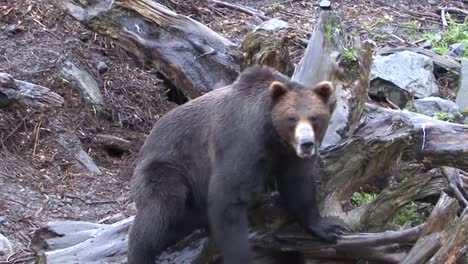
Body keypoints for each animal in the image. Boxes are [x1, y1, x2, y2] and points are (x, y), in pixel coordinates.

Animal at [128, 65, 348, 264]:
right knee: (160, 209)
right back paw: (141, 253)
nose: (306, 144)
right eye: (291, 118)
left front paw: (330, 227)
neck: (273, 135)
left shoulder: (287, 154)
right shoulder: (241, 140)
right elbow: (227, 197)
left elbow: (298, 184)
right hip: (167, 167)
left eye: (315, 118)